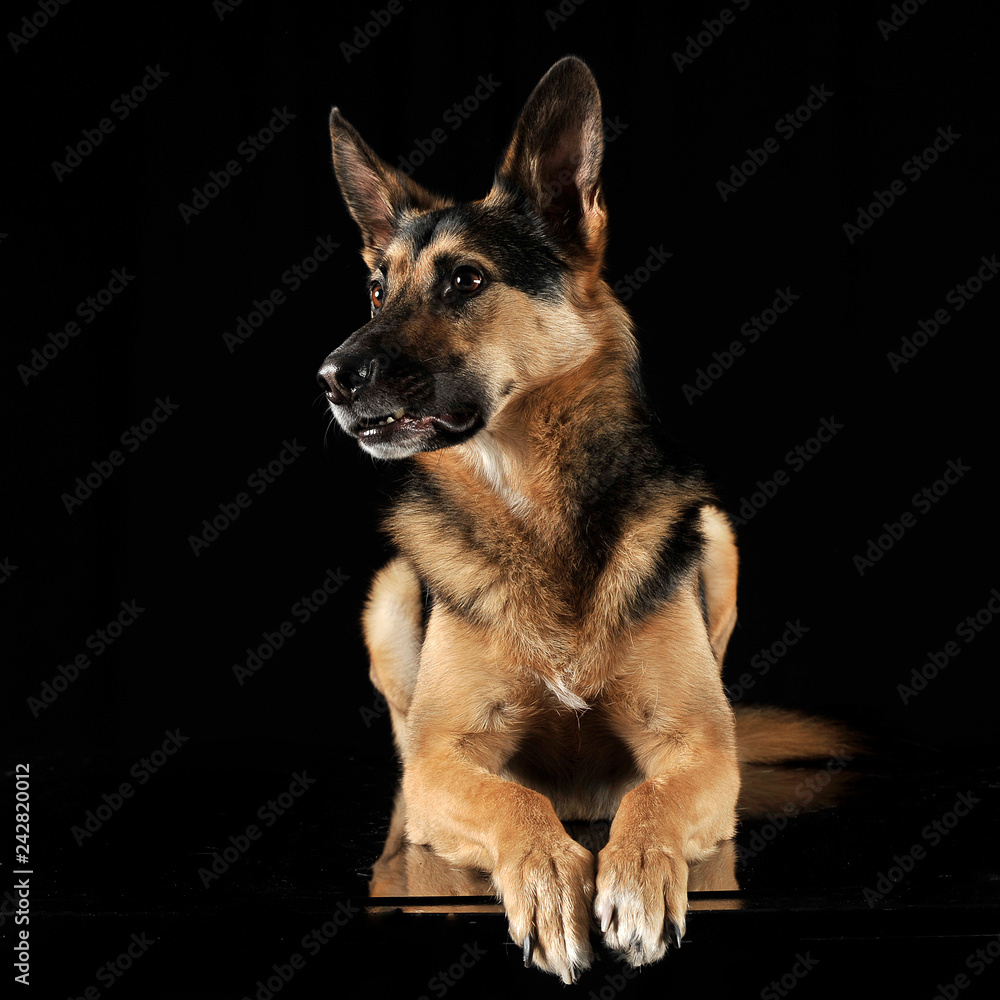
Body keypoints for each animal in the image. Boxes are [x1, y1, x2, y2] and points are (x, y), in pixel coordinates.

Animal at [318, 58, 852, 980]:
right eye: (379, 288)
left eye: (466, 279)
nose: (332, 377)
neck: (538, 508)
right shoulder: (442, 763)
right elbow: (513, 802)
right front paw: (545, 877)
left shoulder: (701, 749)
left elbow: (653, 797)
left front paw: (634, 874)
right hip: (389, 596)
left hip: (717, 539)